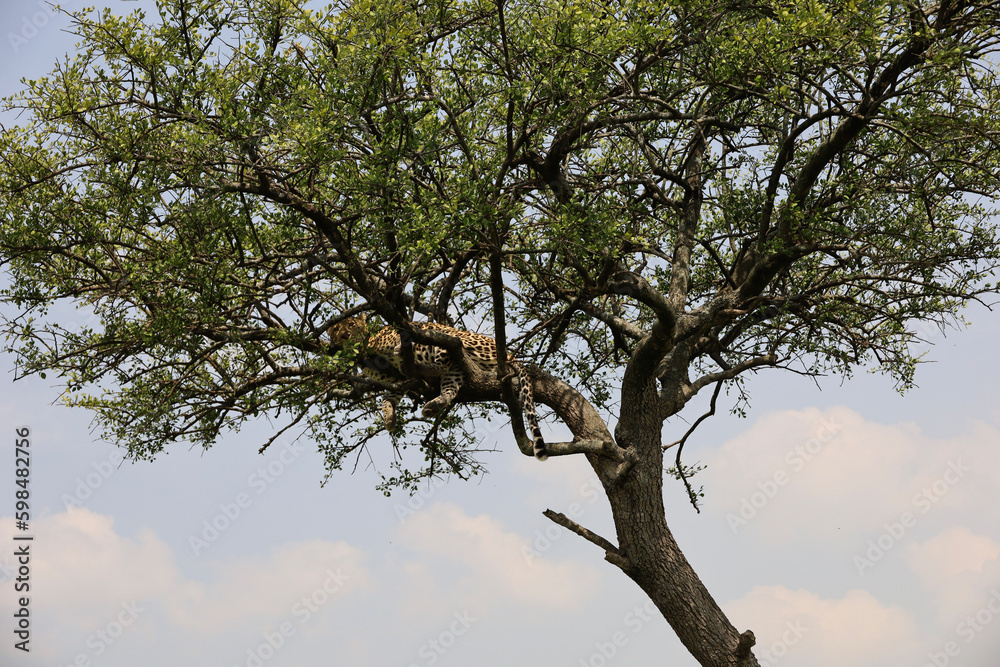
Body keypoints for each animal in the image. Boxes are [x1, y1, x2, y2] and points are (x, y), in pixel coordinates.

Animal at [328, 318, 548, 462]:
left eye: (352, 325)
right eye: (336, 329)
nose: (345, 335)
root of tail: (510, 355)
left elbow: (402, 340)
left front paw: (401, 348)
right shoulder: (396, 379)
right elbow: (388, 397)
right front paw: (389, 419)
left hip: (451, 339)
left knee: (445, 357)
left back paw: (414, 363)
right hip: (457, 371)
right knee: (449, 387)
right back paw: (432, 405)